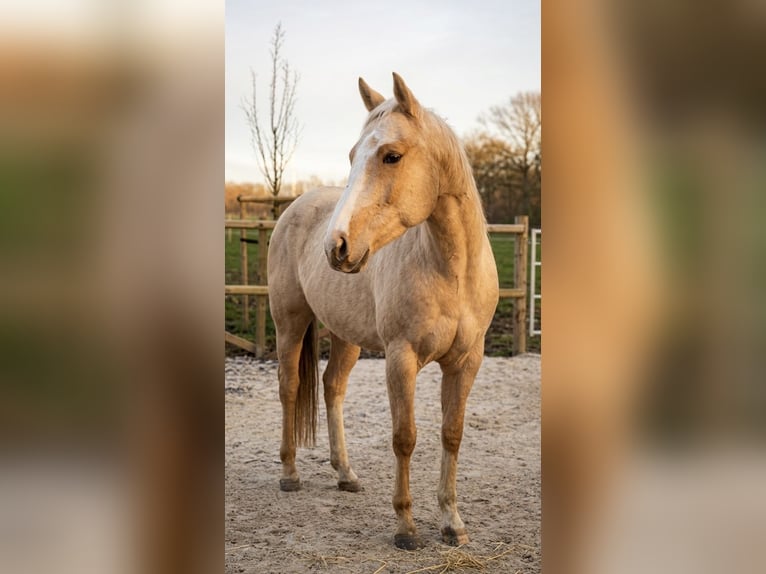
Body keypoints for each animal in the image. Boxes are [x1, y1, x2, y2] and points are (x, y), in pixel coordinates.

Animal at [267, 73, 499, 550]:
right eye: (352, 155)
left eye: (392, 156)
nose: (336, 246)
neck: (452, 270)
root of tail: (296, 205)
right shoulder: (401, 357)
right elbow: (405, 437)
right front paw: (406, 527)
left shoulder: (467, 361)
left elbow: (451, 434)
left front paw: (452, 522)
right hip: (290, 324)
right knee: (290, 388)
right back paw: (290, 473)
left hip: (346, 336)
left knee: (332, 388)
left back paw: (346, 474)